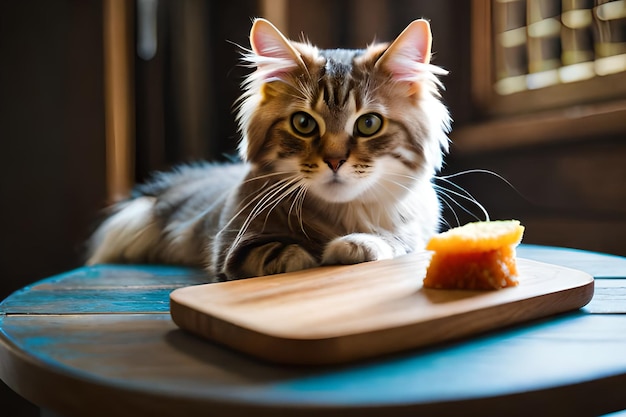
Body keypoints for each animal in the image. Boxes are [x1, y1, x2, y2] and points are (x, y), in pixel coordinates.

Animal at [86, 17, 448, 280]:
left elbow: (398, 241)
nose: (334, 161)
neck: (340, 216)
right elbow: (285, 254)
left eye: (369, 124)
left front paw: (355, 244)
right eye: (303, 123)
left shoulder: (415, 230)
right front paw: (317, 254)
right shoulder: (233, 248)